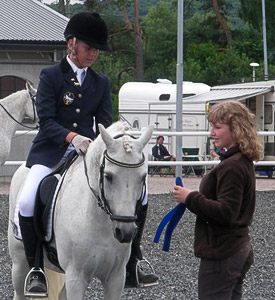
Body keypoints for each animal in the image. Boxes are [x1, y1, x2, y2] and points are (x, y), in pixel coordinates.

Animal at [7, 122, 154, 300]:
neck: (100, 223)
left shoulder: (116, 277)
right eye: (108, 176)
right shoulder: (76, 277)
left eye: (143, 177)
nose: (125, 232)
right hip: (19, 264)